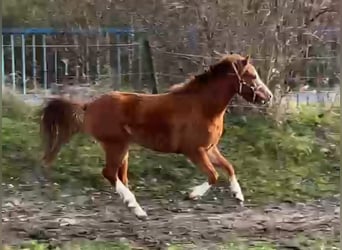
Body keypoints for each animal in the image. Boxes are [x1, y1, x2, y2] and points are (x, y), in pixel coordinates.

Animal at [39, 53, 272, 220]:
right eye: (252, 76)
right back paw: (137, 208)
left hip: (123, 149)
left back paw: (135, 209)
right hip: (116, 146)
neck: (203, 107)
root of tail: (89, 106)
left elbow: (229, 167)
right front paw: (192, 195)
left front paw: (238, 196)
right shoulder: (194, 151)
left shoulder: (209, 148)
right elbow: (213, 175)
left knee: (119, 176)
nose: (268, 97)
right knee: (109, 174)